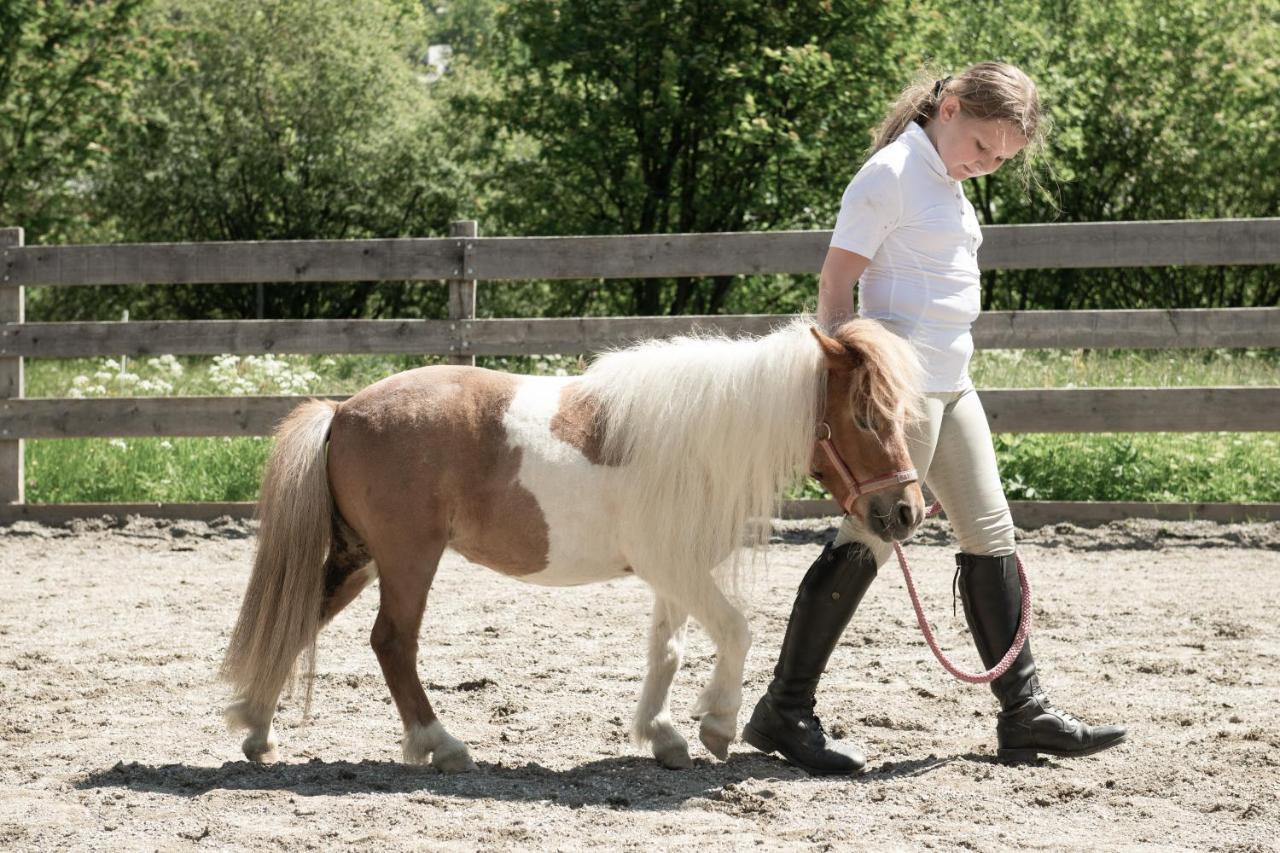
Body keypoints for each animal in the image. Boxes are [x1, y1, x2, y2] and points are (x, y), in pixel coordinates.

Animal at [217, 315, 921, 768]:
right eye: (865, 415)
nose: (906, 512)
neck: (700, 437)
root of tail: (342, 410)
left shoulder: (673, 569)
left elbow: (666, 650)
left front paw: (662, 735)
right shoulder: (677, 566)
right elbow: (736, 630)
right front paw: (718, 724)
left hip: (360, 558)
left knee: (298, 619)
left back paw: (257, 729)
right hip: (407, 559)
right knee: (391, 642)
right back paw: (441, 746)